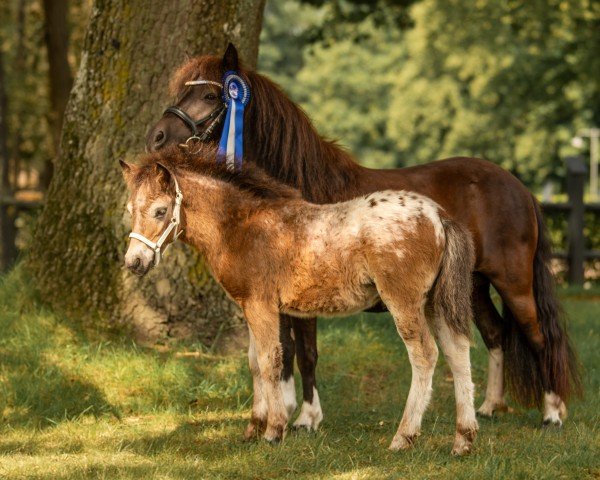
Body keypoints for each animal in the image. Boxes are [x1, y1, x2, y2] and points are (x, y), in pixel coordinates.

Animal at [120, 145, 478, 454]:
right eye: (129, 210)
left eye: (160, 211)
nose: (134, 262)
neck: (240, 226)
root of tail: (439, 216)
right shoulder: (251, 306)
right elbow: (254, 362)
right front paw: (254, 427)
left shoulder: (261, 305)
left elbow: (270, 360)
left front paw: (274, 430)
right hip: (434, 303)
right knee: (457, 351)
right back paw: (463, 439)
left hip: (404, 301)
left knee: (425, 355)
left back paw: (404, 436)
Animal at [145, 44, 580, 428]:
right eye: (182, 91)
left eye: (209, 94)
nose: (157, 137)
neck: (297, 188)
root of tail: (520, 188)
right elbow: (284, 350)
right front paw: (284, 408)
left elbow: (306, 353)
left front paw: (306, 418)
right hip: (472, 285)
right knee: (495, 334)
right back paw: (489, 407)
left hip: (513, 281)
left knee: (539, 337)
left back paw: (552, 413)